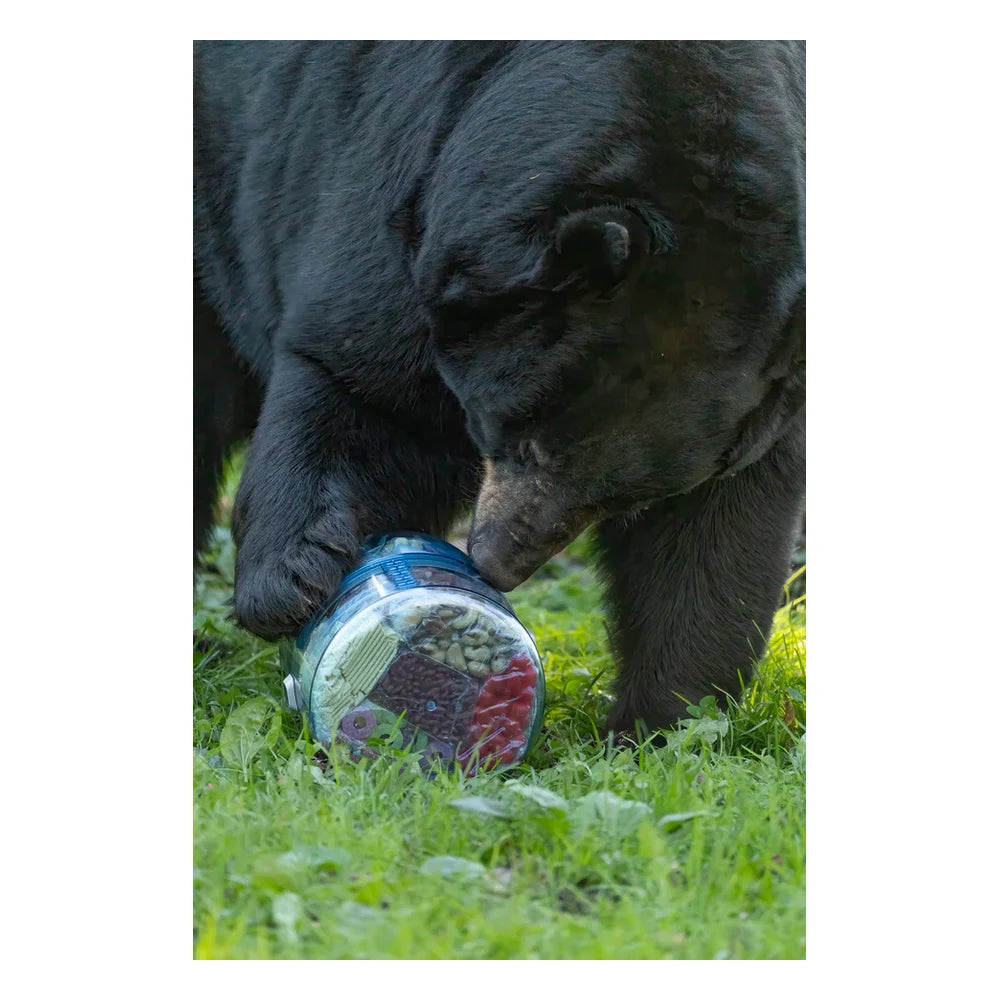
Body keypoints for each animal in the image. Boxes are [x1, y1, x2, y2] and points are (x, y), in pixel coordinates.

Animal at [193, 40, 806, 736]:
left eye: (622, 499)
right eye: (525, 441)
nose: (494, 564)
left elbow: (714, 531)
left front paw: (661, 723)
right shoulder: (405, 169)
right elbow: (362, 383)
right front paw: (288, 582)